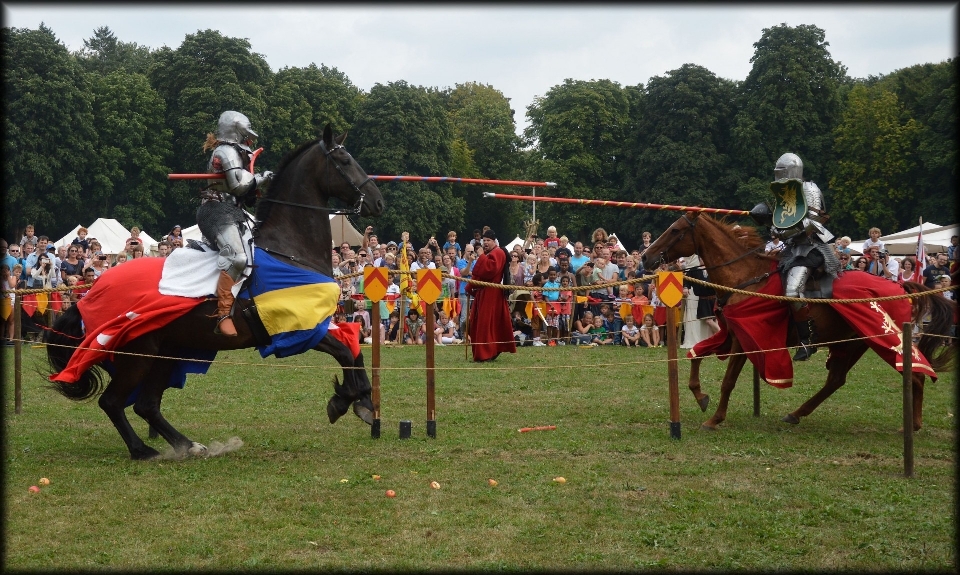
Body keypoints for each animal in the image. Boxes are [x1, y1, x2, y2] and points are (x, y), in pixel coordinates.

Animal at [44, 125, 382, 460]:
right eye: (345, 160)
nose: (377, 202)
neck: (289, 251)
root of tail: (91, 294)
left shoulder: (319, 323)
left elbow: (353, 346)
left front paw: (365, 401)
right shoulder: (297, 331)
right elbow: (343, 351)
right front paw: (345, 400)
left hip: (168, 352)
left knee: (145, 404)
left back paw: (189, 446)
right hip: (138, 355)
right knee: (113, 402)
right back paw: (143, 450)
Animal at [640, 213, 956, 432]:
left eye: (675, 230)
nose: (646, 257)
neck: (745, 277)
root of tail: (902, 287)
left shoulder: (743, 339)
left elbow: (728, 381)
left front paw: (715, 419)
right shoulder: (730, 334)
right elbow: (696, 355)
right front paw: (700, 396)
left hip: (883, 336)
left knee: (914, 372)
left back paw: (912, 425)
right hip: (853, 343)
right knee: (836, 380)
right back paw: (796, 414)